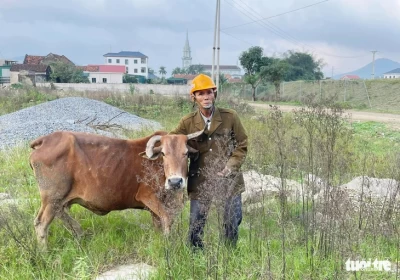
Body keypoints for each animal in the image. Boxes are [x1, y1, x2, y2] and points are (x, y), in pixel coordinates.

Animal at [30, 129, 203, 247]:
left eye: (186, 153)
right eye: (164, 153)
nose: (175, 182)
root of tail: (45, 140)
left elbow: (159, 223)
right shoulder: (148, 196)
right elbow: (167, 219)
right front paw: (168, 244)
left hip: (57, 200)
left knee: (61, 214)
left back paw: (79, 234)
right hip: (52, 198)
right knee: (41, 223)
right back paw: (45, 253)